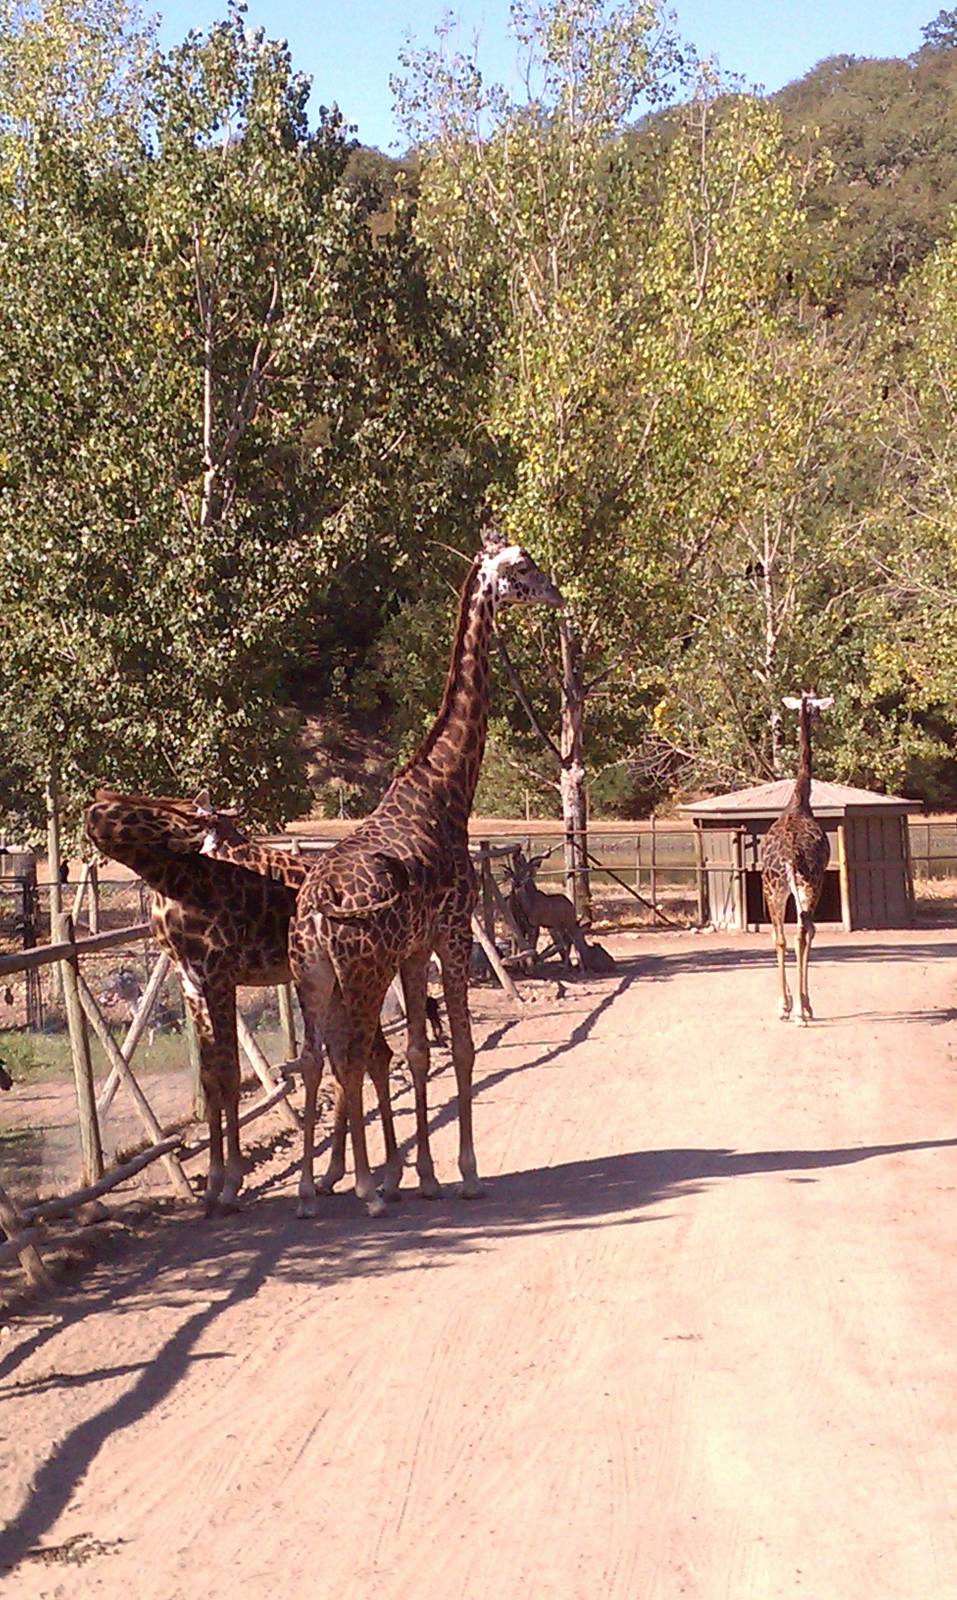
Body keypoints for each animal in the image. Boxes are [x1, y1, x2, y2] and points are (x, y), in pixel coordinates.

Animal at [84, 790, 398, 1213]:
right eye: (138, 811)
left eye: (153, 808)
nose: (196, 823)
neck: (173, 881)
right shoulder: (190, 978)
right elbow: (209, 1078)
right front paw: (211, 1186)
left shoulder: (220, 973)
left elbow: (230, 1074)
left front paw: (231, 1184)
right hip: (333, 985)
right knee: (350, 1059)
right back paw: (334, 1176)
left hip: (357, 976)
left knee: (375, 1055)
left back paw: (386, 1176)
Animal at [286, 528, 563, 1217]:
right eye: (521, 566)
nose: (554, 592)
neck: (447, 789)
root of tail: (317, 907)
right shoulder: (454, 934)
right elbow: (459, 1046)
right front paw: (465, 1173)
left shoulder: (414, 951)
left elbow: (417, 1050)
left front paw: (423, 1176)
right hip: (361, 973)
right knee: (354, 1054)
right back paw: (361, 1189)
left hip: (314, 978)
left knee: (315, 1057)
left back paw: (309, 1192)